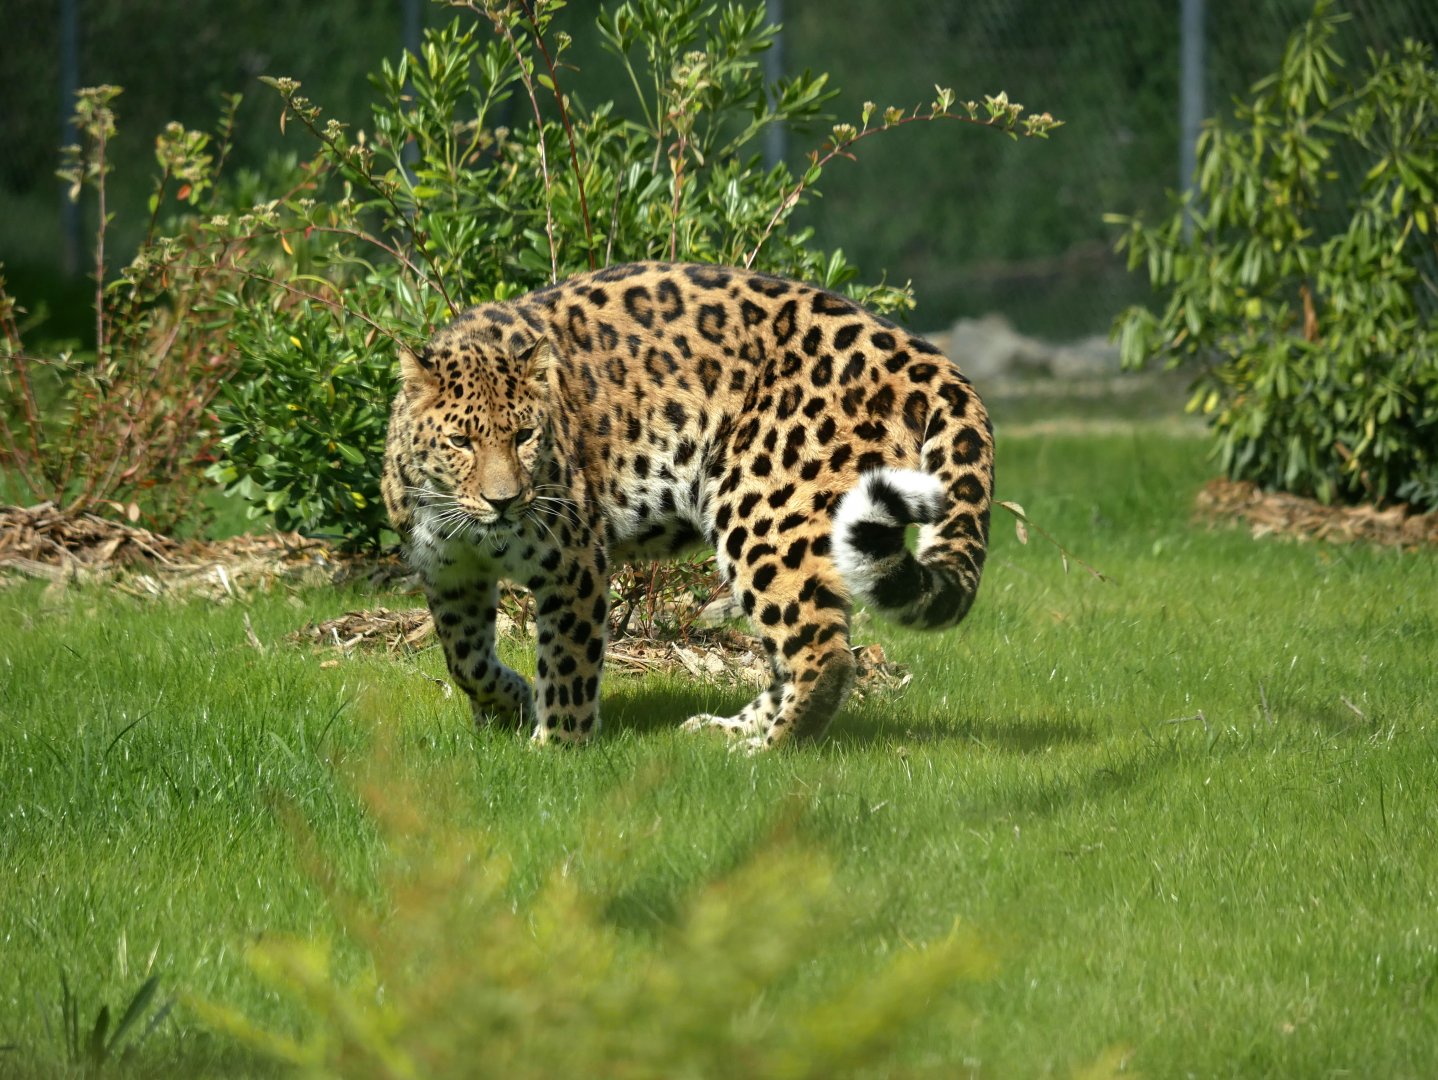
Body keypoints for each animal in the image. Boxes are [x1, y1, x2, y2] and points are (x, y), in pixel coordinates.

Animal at [381, 261, 993, 750]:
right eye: (461, 441)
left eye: (525, 436)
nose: (505, 502)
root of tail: (920, 354)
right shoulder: (448, 571)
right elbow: (464, 657)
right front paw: (509, 700)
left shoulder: (574, 561)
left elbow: (567, 660)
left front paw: (557, 745)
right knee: (798, 645)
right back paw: (724, 730)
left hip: (764, 505)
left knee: (825, 650)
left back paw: (762, 752)